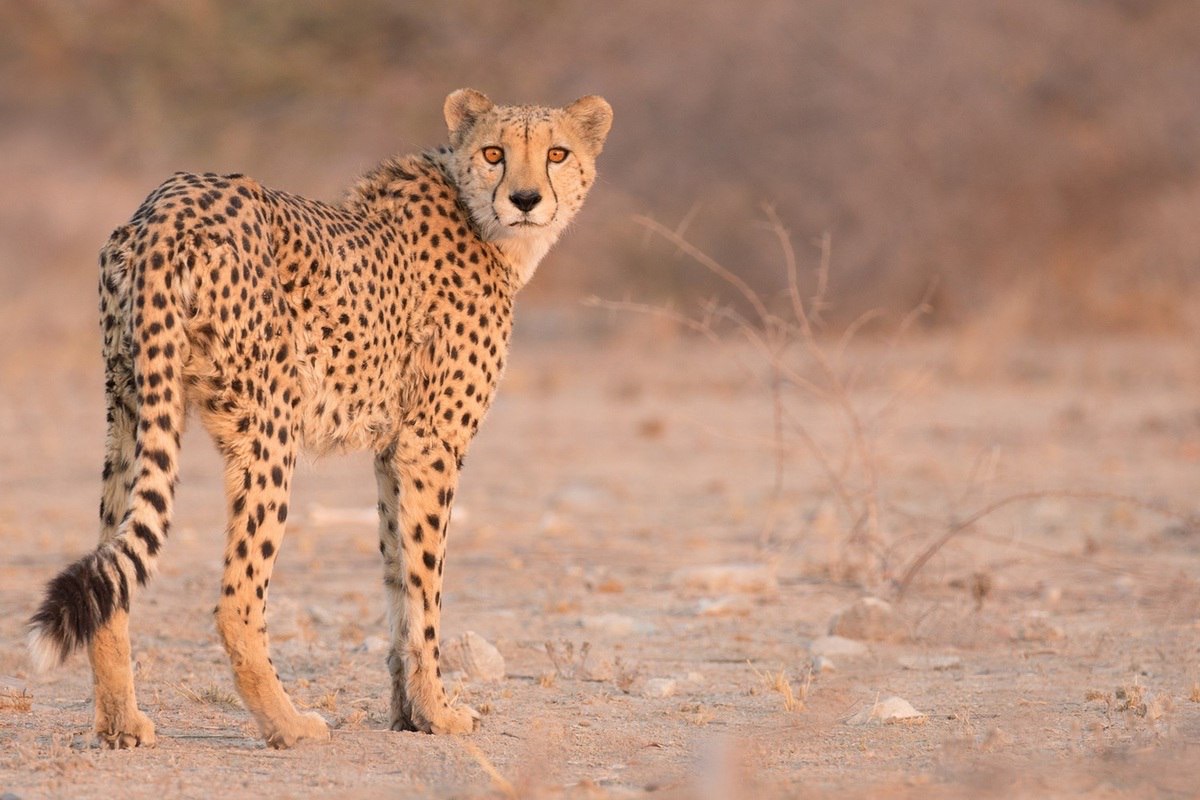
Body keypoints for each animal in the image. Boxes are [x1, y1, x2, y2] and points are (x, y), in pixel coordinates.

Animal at [30, 89, 609, 753]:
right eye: (494, 153)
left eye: (557, 153)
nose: (526, 199)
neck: (482, 223)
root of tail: (167, 205)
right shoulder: (431, 442)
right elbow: (426, 591)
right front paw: (439, 714)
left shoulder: (393, 450)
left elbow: (397, 576)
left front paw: (408, 712)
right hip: (269, 426)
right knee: (237, 600)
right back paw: (289, 724)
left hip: (130, 405)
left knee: (111, 566)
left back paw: (121, 723)